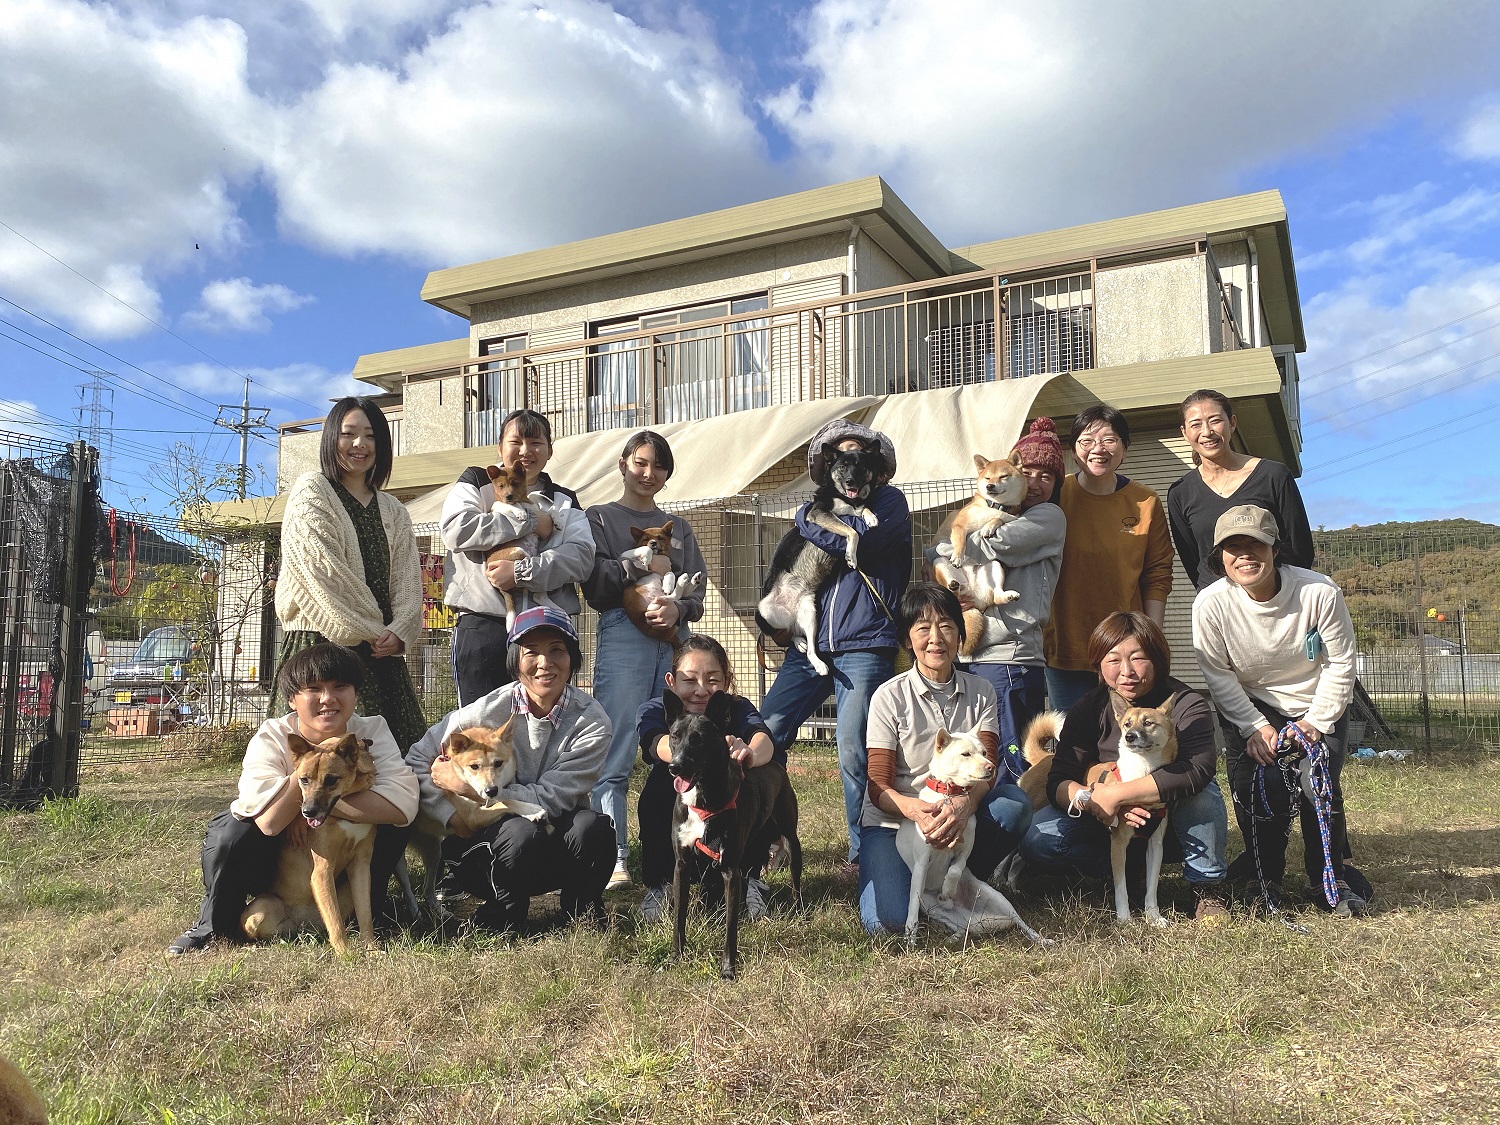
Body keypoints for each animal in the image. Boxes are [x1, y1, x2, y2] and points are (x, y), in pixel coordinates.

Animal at [669, 687, 804, 978]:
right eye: (674, 736)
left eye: (699, 739)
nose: (674, 766)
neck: (703, 797)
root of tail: (775, 764)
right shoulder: (682, 865)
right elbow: (679, 916)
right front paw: (676, 957)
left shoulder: (729, 868)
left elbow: (730, 929)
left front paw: (728, 969)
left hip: (790, 840)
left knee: (795, 880)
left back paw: (800, 910)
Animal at [756, 441, 882, 675]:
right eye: (843, 467)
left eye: (861, 466)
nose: (850, 481)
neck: (847, 497)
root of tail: (791, 614)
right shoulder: (819, 513)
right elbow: (853, 531)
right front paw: (851, 556)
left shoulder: (851, 507)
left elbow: (862, 510)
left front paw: (871, 517)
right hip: (763, 612)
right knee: (784, 634)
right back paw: (799, 643)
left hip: (810, 613)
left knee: (807, 645)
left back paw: (816, 660)